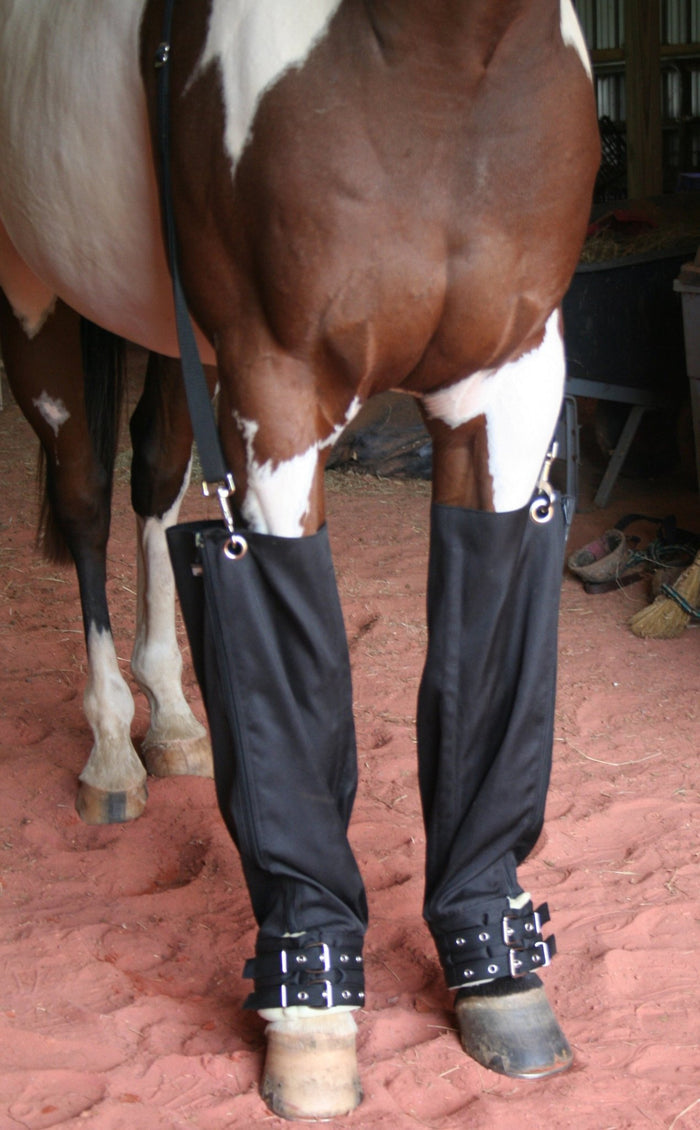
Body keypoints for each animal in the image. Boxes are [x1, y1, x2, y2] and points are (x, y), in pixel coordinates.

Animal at [0, 0, 600, 1120]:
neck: (443, 64)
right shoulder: (278, 389)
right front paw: (311, 1009)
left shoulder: (511, 374)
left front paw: (497, 972)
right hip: (35, 302)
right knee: (87, 495)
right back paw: (112, 753)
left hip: (160, 330)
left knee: (156, 480)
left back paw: (173, 719)